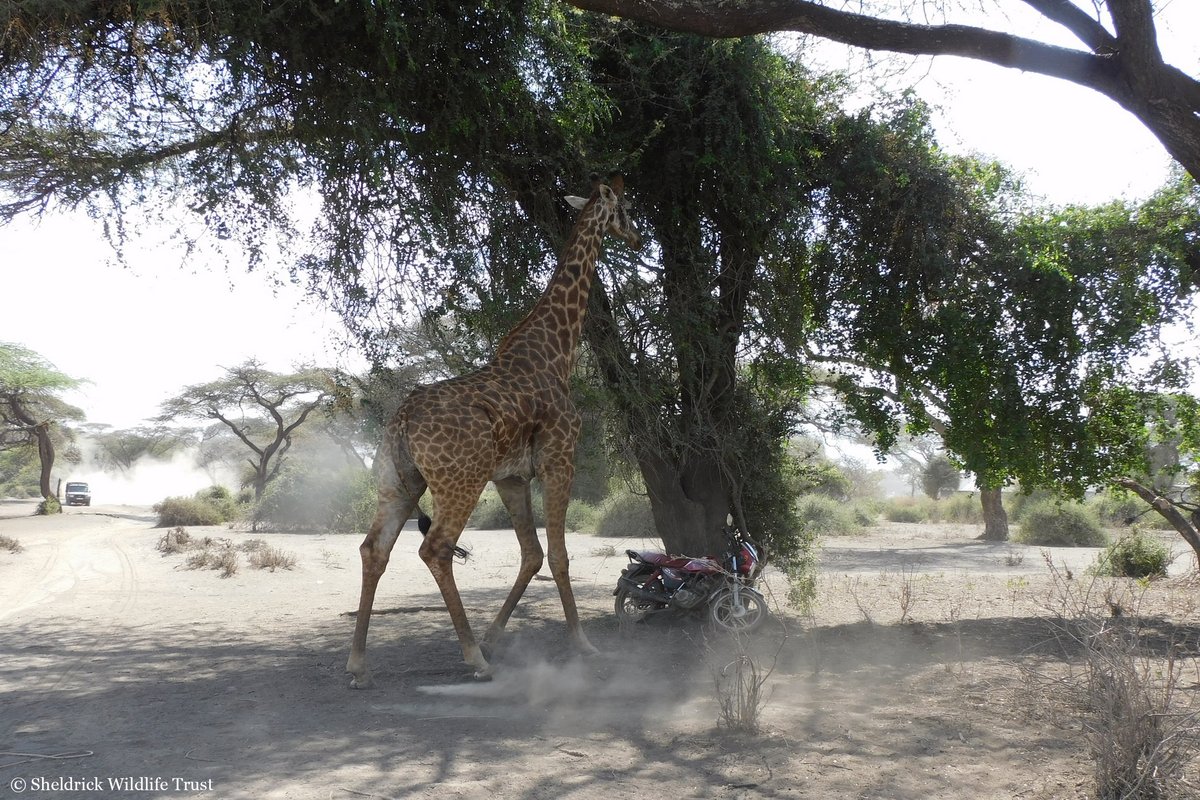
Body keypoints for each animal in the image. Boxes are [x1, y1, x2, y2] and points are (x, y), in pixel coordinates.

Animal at [346, 174, 641, 687]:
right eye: (625, 208)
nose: (640, 237)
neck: (555, 352)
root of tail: (401, 421)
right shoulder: (560, 458)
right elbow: (559, 555)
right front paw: (583, 644)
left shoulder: (511, 477)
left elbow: (533, 554)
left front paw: (493, 638)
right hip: (460, 482)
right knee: (435, 550)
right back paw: (473, 660)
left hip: (398, 483)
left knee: (373, 550)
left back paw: (360, 664)